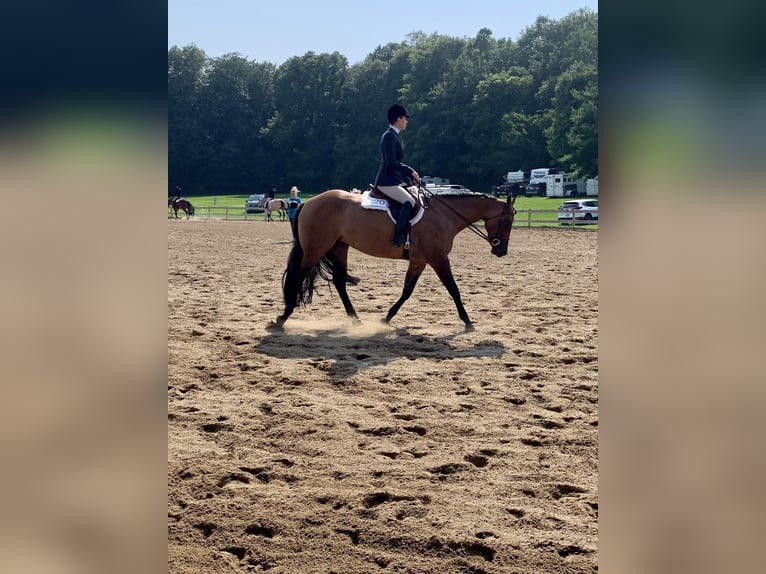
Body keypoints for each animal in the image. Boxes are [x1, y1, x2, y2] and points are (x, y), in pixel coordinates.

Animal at [270, 189, 515, 331]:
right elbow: (453, 289)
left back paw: (355, 319)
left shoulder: (419, 261)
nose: (501, 251)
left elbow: (407, 291)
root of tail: (308, 202)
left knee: (339, 282)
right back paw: (283, 317)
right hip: (314, 250)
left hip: (339, 247)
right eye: (508, 221)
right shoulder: (438, 259)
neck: (443, 215)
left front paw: (386, 318)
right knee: (297, 276)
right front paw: (467, 321)